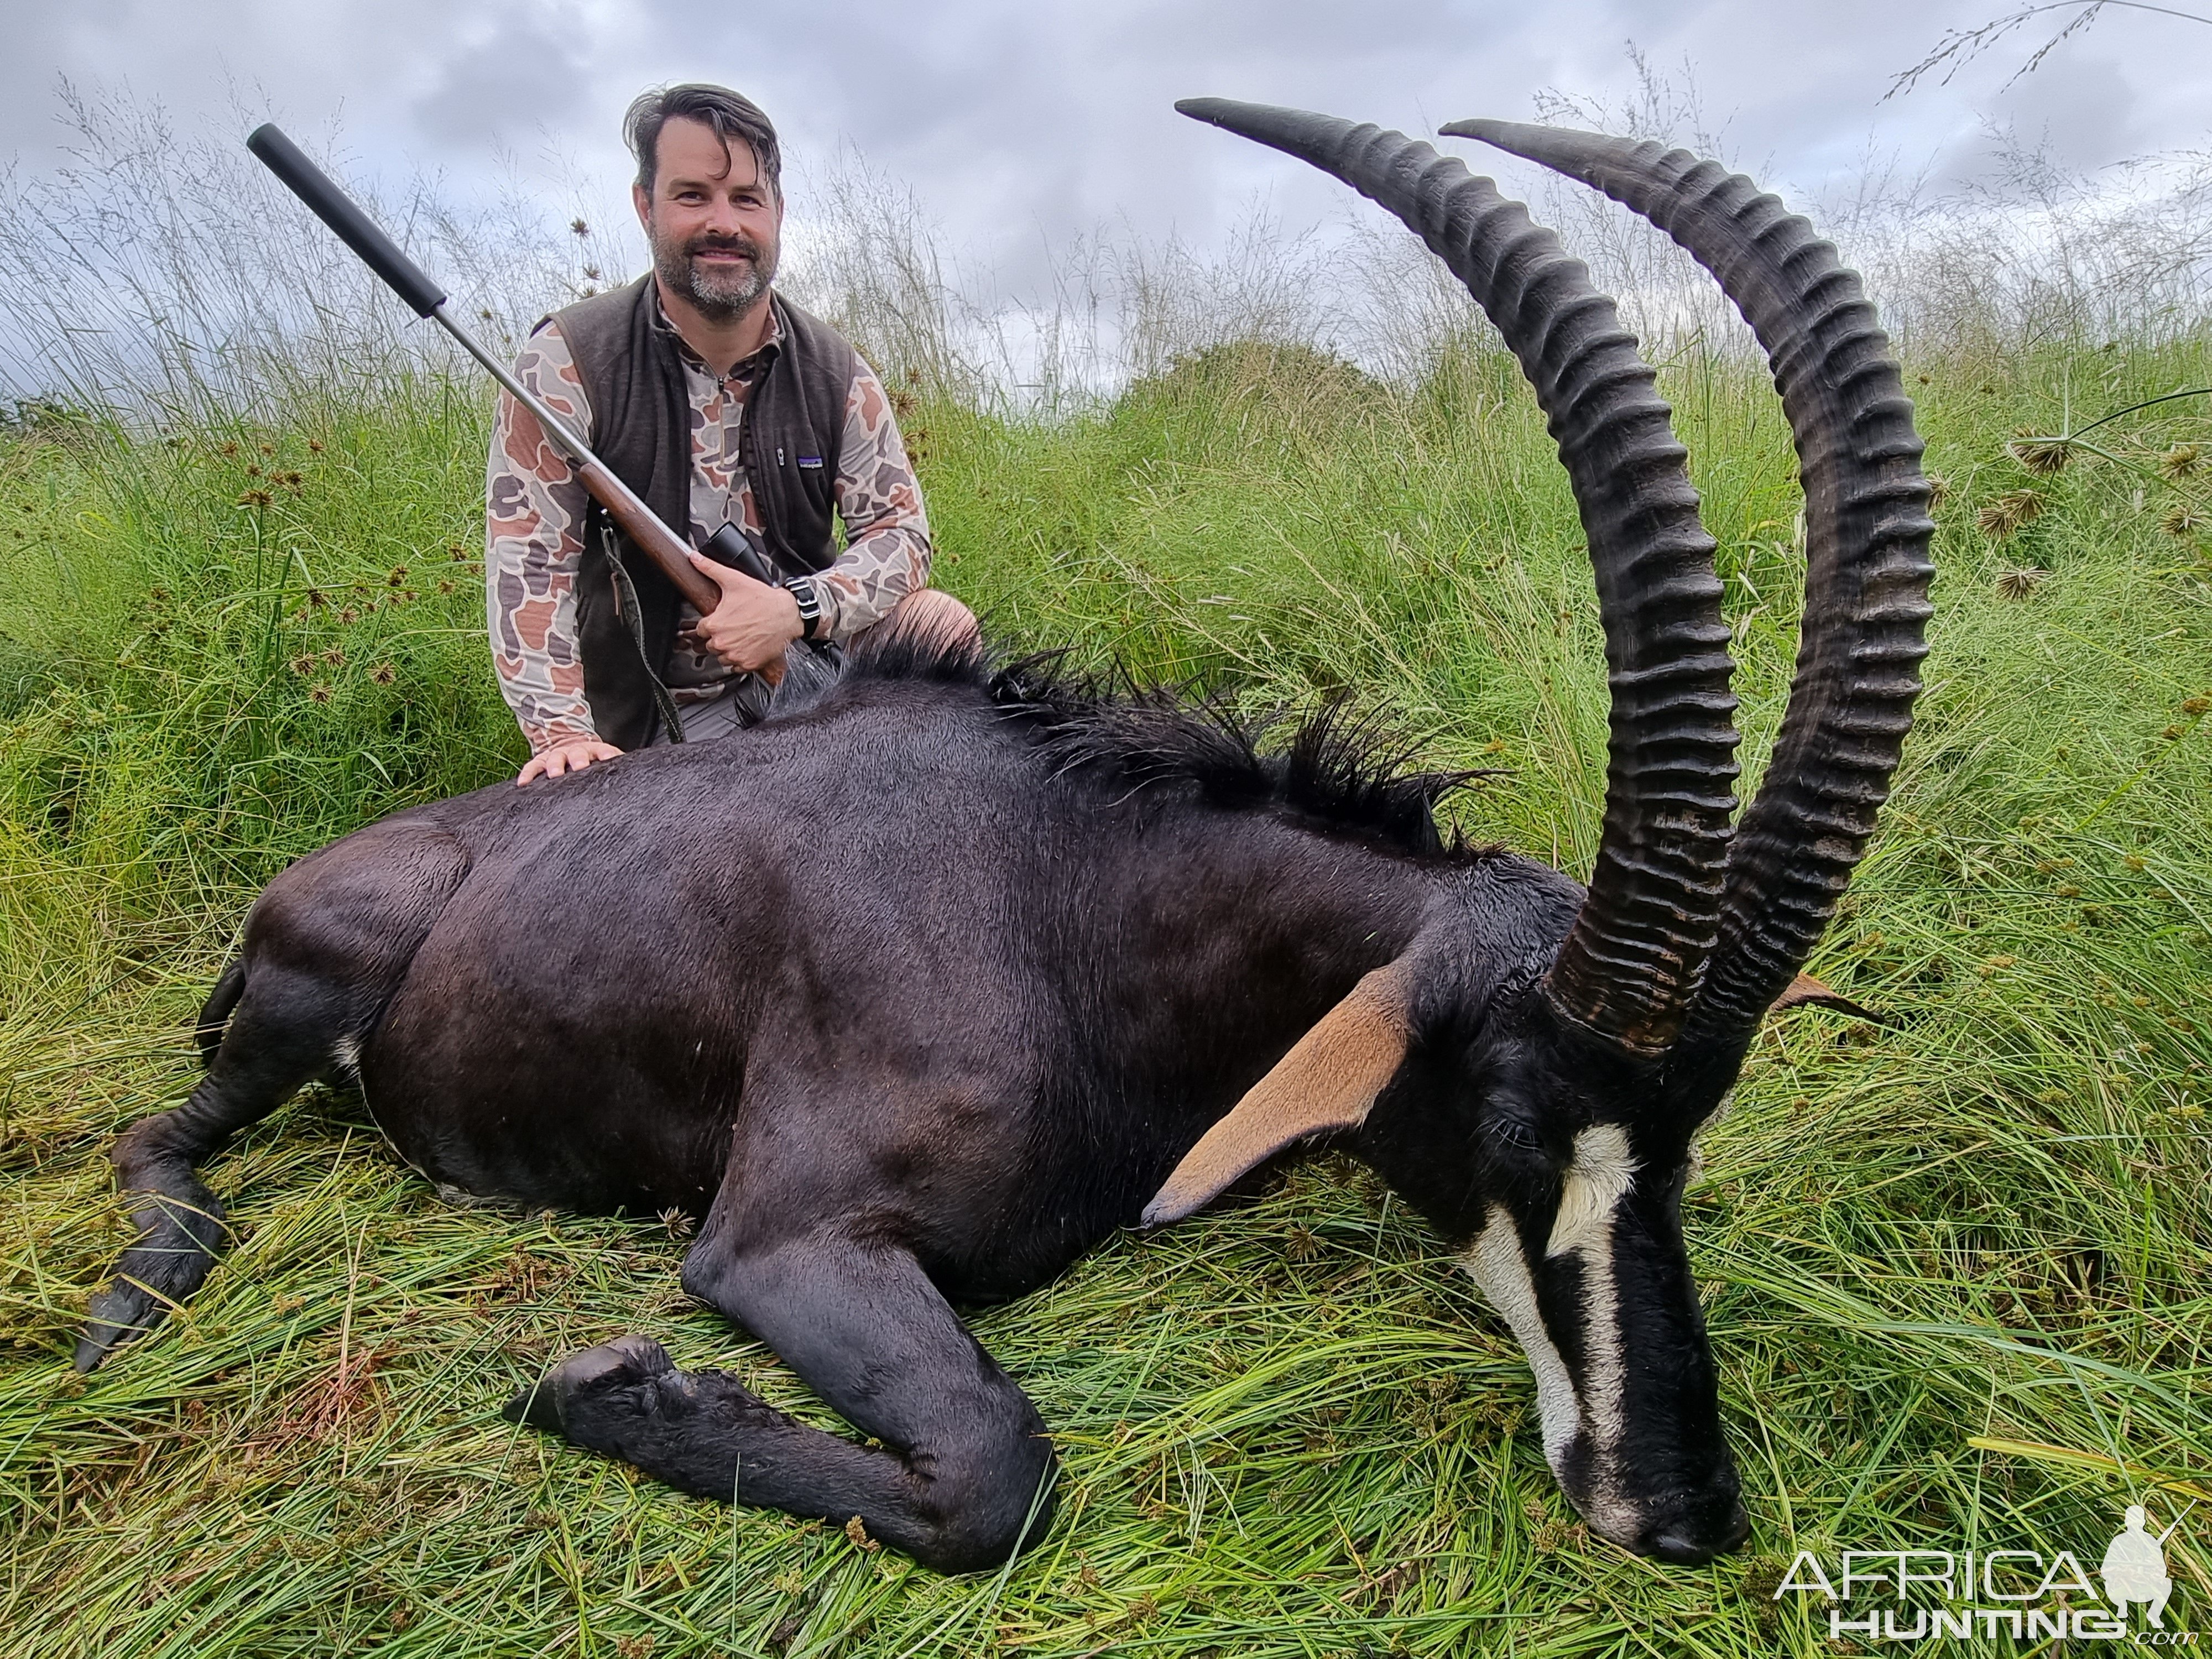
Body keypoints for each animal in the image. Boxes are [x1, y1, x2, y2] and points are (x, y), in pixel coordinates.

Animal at [74, 104, 1938, 1575]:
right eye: (1513, 1115)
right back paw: (139, 1285)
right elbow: (994, 1479)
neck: (1081, 909)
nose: (1676, 1509)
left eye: (1691, 1127)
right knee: (158, 1138)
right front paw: (601, 1378)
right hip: (312, 997)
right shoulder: (785, 1240)